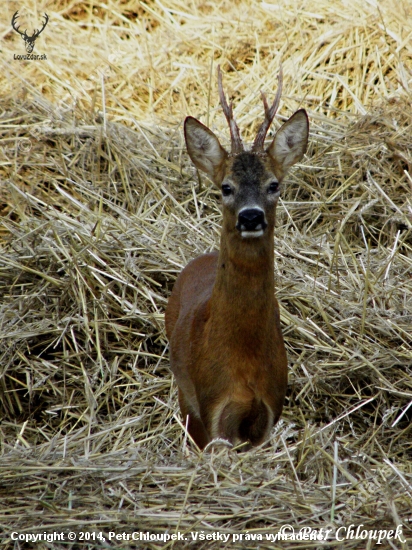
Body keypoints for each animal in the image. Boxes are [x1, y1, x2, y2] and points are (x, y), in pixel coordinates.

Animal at [166, 67, 308, 450]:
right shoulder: (213, 407)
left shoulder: (269, 409)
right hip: (186, 395)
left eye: (274, 185)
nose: (251, 216)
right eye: (225, 187)